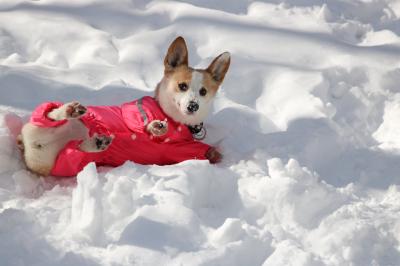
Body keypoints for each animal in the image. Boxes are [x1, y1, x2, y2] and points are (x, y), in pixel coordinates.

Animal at [18, 35, 231, 177]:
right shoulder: (135, 110)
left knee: (76, 147)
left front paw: (214, 153)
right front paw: (155, 126)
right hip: (40, 123)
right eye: (182, 86)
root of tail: (30, 146)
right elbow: (141, 122)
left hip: (66, 161)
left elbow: (201, 151)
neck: (175, 121)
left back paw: (95, 142)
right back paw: (69, 111)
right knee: (50, 115)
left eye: (203, 91)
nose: (193, 106)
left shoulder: (180, 150)